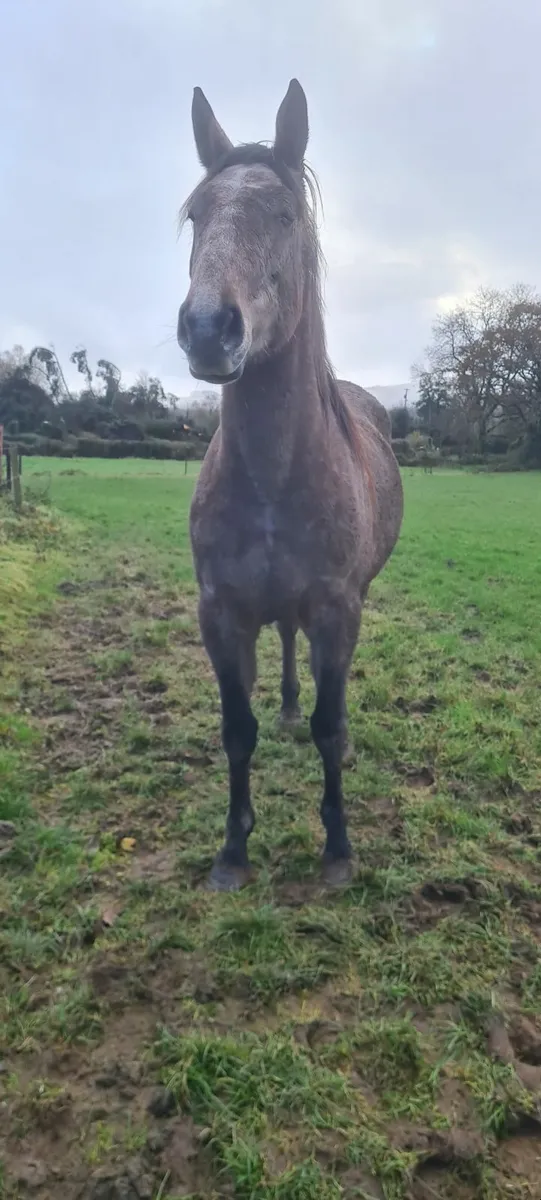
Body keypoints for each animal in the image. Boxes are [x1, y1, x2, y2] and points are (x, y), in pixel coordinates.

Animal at [177, 80, 403, 891]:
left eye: (284, 215)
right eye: (196, 214)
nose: (208, 329)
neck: (274, 478)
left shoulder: (338, 610)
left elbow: (329, 725)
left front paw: (337, 850)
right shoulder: (220, 612)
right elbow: (235, 729)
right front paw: (232, 851)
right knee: (281, 645)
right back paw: (282, 707)